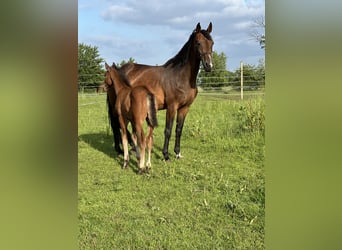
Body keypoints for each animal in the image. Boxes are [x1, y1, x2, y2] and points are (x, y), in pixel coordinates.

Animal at [107, 22, 214, 161]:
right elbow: (168, 130)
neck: (181, 76)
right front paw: (166, 155)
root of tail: (116, 70)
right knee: (116, 124)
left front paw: (177, 153)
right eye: (198, 42)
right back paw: (122, 149)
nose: (209, 66)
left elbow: (179, 129)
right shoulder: (172, 107)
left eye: (212, 43)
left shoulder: (184, 108)